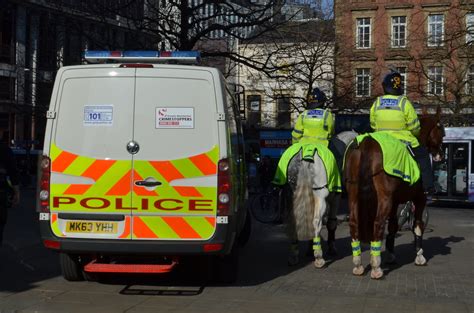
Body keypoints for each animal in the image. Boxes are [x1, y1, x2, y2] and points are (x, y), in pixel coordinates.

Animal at [284, 130, 358, 266]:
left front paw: (309, 249)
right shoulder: (335, 199)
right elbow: (331, 223)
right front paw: (331, 248)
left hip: (291, 196)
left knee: (294, 222)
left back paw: (294, 256)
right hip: (321, 197)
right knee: (316, 221)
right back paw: (319, 257)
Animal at [344, 105, 444, 278]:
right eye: (442, 131)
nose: (440, 155)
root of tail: (367, 143)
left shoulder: (395, 202)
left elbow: (392, 226)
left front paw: (391, 255)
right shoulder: (419, 198)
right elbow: (417, 225)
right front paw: (419, 255)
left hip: (354, 195)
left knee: (354, 223)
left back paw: (358, 265)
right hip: (384, 199)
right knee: (378, 224)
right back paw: (376, 267)